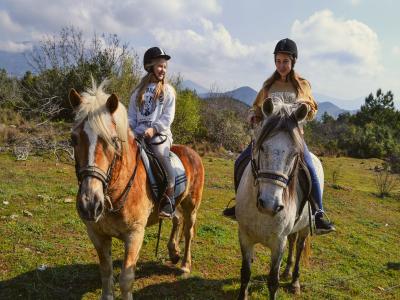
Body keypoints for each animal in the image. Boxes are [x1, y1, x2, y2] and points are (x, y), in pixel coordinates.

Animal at [69, 81, 205, 298]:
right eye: (73, 139)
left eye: (113, 140)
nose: (89, 204)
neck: (115, 192)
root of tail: (193, 153)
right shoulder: (97, 233)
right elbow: (106, 271)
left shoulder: (134, 234)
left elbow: (126, 278)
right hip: (173, 205)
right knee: (176, 219)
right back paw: (173, 252)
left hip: (191, 205)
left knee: (189, 231)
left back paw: (184, 265)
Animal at [236, 97, 324, 298]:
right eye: (262, 147)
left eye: (294, 154)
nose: (269, 204)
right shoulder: (244, 237)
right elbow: (245, 273)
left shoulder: (278, 244)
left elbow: (272, 281)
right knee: (293, 242)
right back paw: (287, 271)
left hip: (305, 228)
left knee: (299, 247)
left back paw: (294, 281)